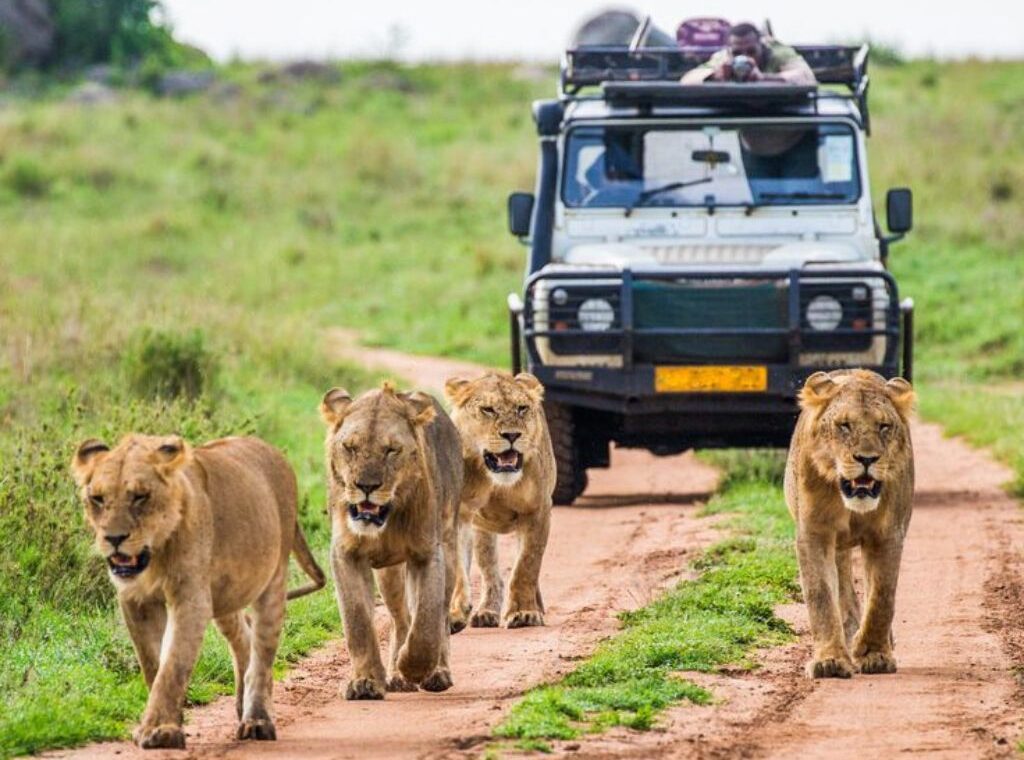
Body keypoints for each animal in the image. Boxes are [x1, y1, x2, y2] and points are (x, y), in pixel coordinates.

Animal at [71, 434, 323, 749]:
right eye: (97, 498)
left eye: (140, 496)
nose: (114, 538)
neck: (156, 554)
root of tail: (273, 450)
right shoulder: (135, 600)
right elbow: (153, 664)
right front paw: (169, 723)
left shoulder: (191, 599)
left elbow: (173, 665)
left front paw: (159, 730)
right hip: (226, 595)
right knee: (243, 638)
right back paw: (242, 706)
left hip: (273, 578)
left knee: (262, 654)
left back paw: (257, 720)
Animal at [319, 383, 464, 700]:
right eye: (350, 447)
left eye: (391, 450)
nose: (366, 486)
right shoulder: (345, 554)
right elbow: (358, 622)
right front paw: (366, 682)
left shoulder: (427, 554)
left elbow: (427, 621)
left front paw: (414, 667)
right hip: (389, 574)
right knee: (400, 618)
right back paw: (396, 676)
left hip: (449, 549)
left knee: (439, 617)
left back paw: (435, 673)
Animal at [444, 372, 557, 630]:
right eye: (488, 410)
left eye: (522, 408)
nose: (512, 435)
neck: (495, 480)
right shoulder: (458, 515)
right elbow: (457, 567)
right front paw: (455, 613)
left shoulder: (537, 511)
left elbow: (526, 566)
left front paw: (524, 613)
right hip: (482, 532)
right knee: (490, 573)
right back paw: (486, 612)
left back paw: (536, 607)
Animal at [786, 368, 917, 680]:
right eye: (844, 425)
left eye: (883, 426)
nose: (867, 459)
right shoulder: (814, 533)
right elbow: (821, 596)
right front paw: (830, 661)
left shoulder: (888, 535)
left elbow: (881, 597)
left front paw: (874, 654)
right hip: (838, 546)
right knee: (843, 588)